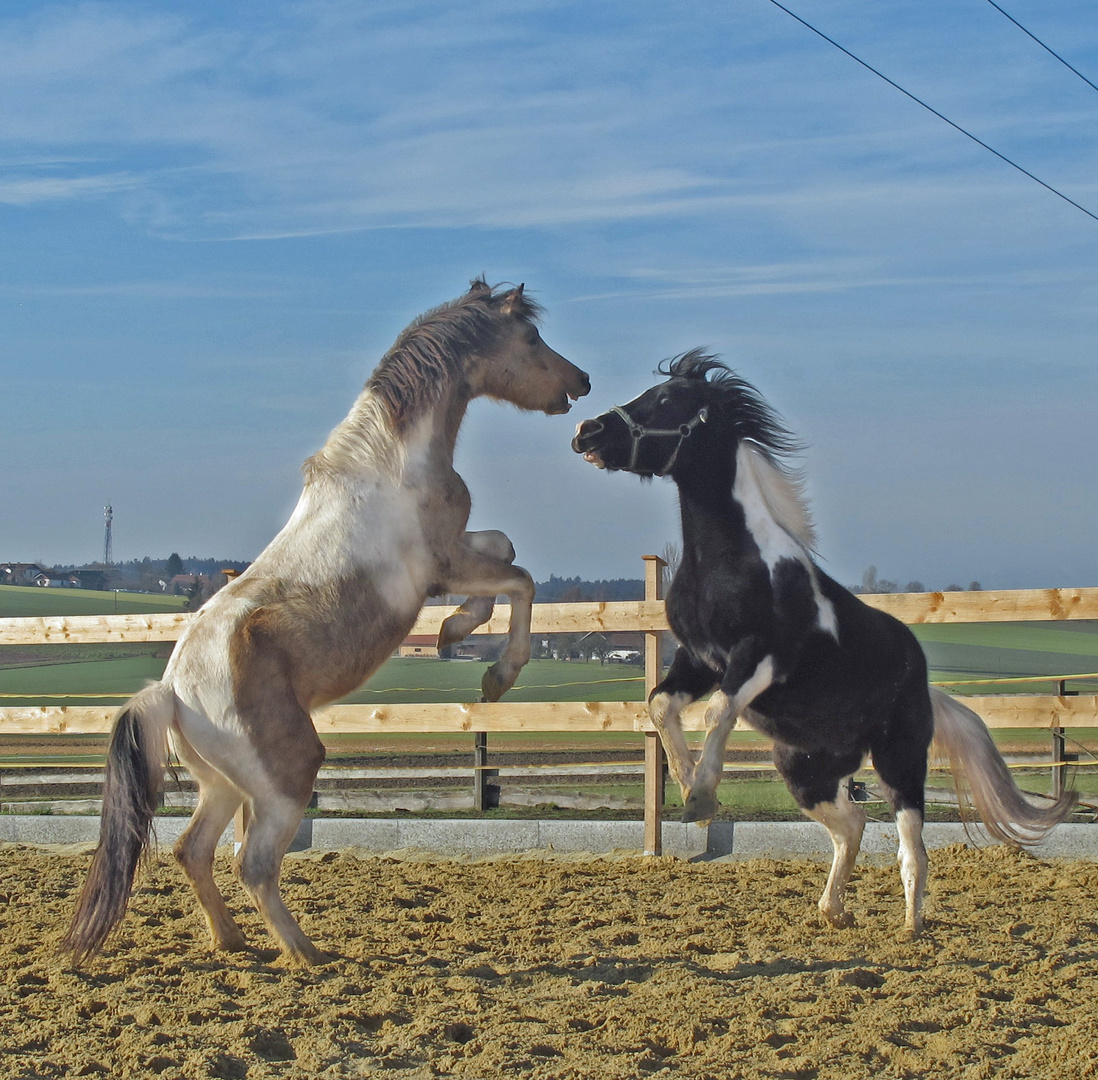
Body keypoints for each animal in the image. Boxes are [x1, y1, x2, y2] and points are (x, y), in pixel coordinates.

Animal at [62, 283, 592, 965]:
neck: (392, 459)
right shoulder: (443, 562)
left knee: (193, 850)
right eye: (529, 339)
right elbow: (519, 579)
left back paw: (233, 941)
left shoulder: (453, 558)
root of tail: (171, 692)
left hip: (223, 785)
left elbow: (504, 550)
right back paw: (307, 954)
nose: (579, 384)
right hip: (286, 777)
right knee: (252, 864)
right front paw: (494, 674)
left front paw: (452, 632)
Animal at [575, 351, 1071, 935]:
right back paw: (834, 911)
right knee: (852, 824)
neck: (730, 561)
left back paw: (911, 928)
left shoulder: (760, 658)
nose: (587, 432)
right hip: (806, 769)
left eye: (668, 399)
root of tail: (922, 679)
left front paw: (702, 794)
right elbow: (659, 704)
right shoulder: (698, 660)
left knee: (911, 848)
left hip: (899, 761)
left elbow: (718, 709)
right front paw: (687, 785)